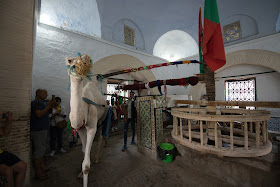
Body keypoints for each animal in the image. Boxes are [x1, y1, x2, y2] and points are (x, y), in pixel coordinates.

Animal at [65, 53, 107, 186]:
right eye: (69, 60)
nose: (84, 59)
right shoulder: (80, 129)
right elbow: (84, 150)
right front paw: (79, 174)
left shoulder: (91, 127)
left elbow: (86, 166)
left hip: (102, 119)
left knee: (100, 136)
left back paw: (97, 158)